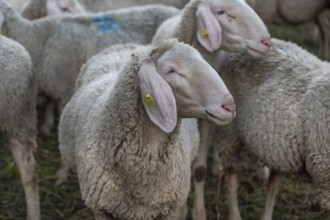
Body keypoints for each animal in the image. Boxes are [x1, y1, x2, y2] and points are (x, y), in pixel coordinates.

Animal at [210, 38, 330, 220]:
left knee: (273, 181)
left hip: (279, 148)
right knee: (231, 179)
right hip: (228, 133)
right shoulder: (325, 178)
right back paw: (235, 214)